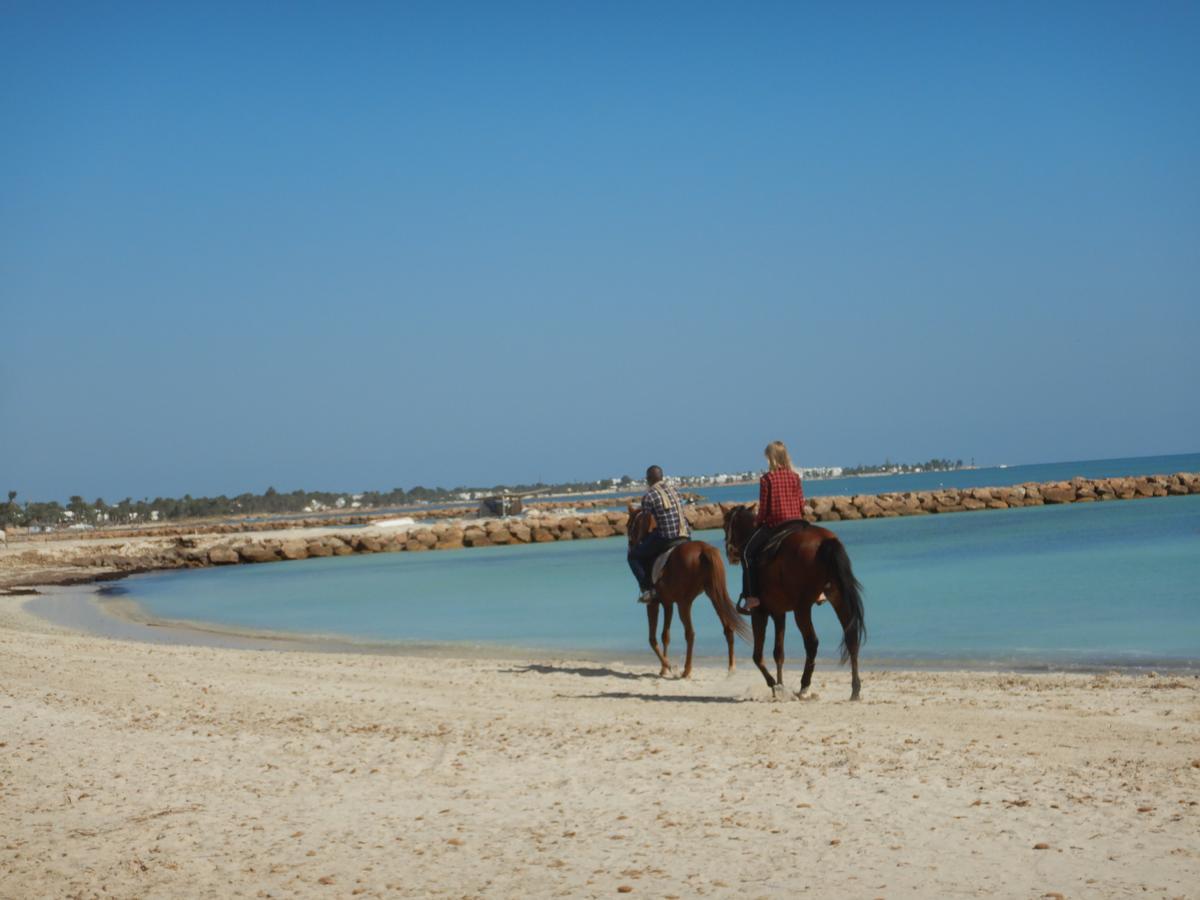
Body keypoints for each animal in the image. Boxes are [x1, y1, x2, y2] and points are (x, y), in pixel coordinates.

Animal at [628, 508, 748, 676]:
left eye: (629, 525)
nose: (631, 545)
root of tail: (704, 549)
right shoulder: (668, 603)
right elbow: (665, 635)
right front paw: (664, 668)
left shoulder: (654, 604)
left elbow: (652, 638)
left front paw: (667, 666)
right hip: (714, 596)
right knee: (728, 628)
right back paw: (731, 667)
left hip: (684, 604)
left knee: (690, 633)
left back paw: (687, 670)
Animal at [720, 508, 864, 705]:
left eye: (726, 525)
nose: (729, 554)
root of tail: (826, 541)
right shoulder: (779, 613)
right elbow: (778, 653)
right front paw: (780, 686)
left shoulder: (760, 613)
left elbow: (758, 656)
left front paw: (775, 685)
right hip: (837, 596)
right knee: (851, 638)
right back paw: (855, 689)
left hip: (802, 609)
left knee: (812, 642)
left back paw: (804, 687)